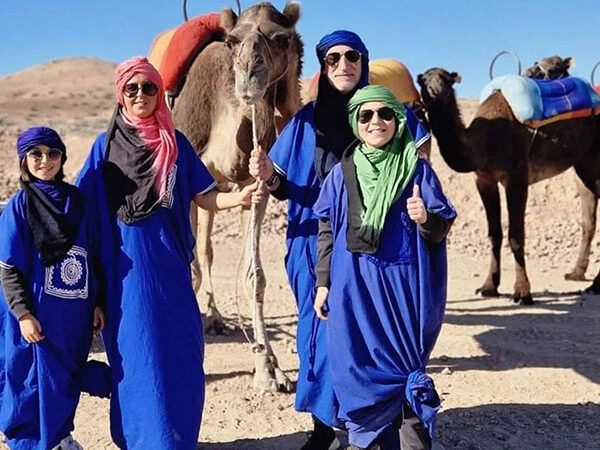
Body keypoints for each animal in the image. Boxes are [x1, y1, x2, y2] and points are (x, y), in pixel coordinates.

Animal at [170, 1, 302, 392]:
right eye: (231, 42)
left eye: (281, 38)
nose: (249, 75)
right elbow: (189, 270)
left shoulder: (253, 189)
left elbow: (254, 275)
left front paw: (269, 369)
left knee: (207, 250)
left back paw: (214, 318)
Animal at [418, 67, 600, 302]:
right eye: (423, 81)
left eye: (447, 81)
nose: (435, 91)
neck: (484, 141)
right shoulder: (484, 179)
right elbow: (494, 233)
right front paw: (488, 286)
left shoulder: (517, 176)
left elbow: (516, 235)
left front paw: (522, 292)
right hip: (583, 164)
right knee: (588, 219)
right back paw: (576, 274)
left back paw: (595, 284)